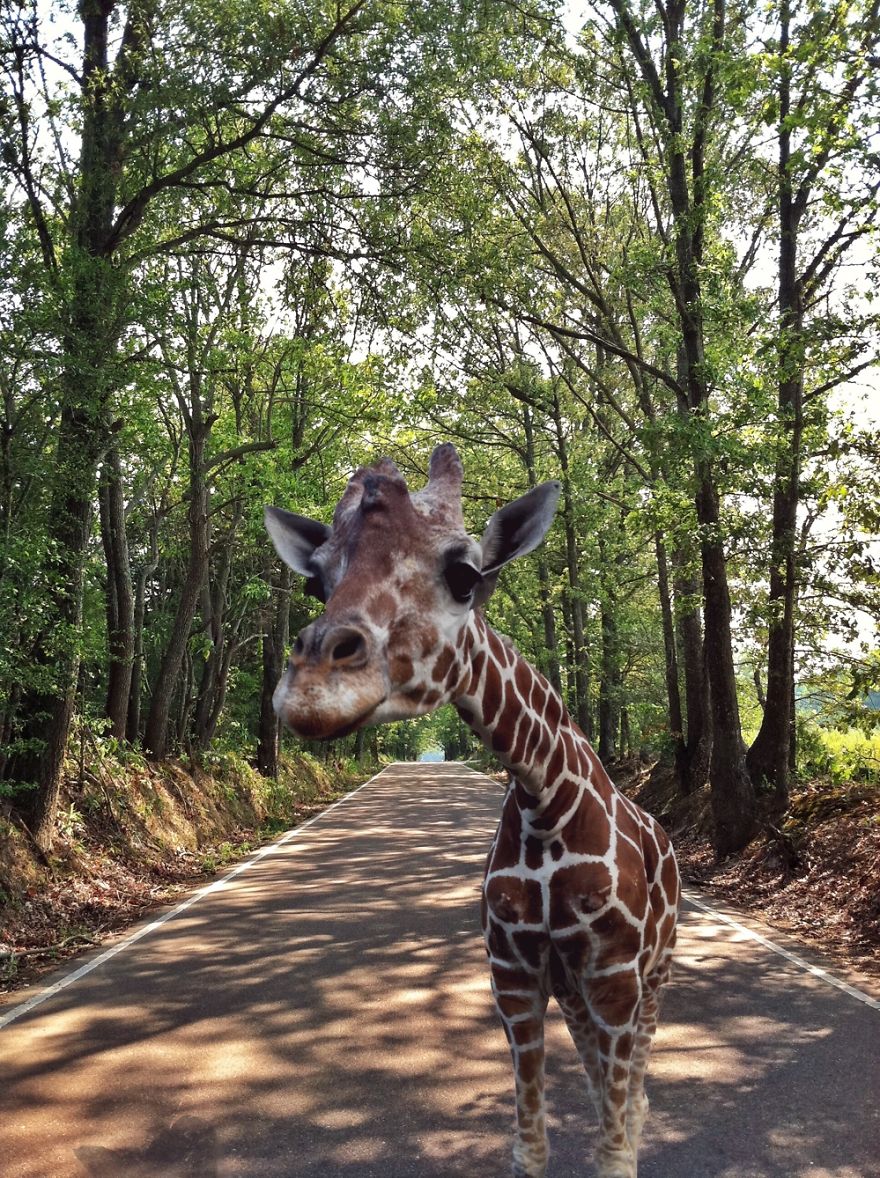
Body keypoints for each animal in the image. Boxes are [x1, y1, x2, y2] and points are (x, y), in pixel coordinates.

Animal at [265, 443, 680, 1178]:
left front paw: (621, 1138)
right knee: (602, 1075)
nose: (312, 690)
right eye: (318, 581)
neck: (546, 803)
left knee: (633, 1089)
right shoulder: (514, 975)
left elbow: (615, 1149)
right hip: (574, 988)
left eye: (465, 573)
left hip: (653, 974)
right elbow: (531, 1145)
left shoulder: (615, 977)